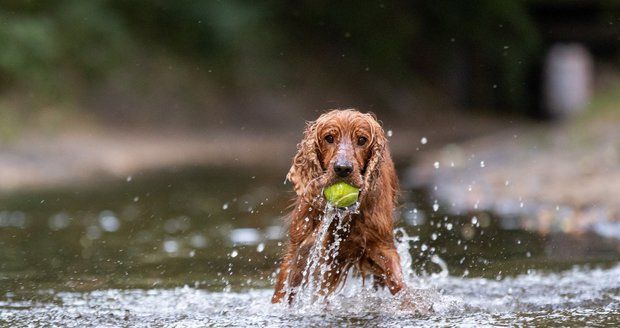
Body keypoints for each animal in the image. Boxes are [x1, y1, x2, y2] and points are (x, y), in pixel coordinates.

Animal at [272, 109, 406, 304]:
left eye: (362, 140)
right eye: (329, 138)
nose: (343, 168)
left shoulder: (382, 245)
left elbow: (399, 283)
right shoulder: (300, 248)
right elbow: (283, 289)